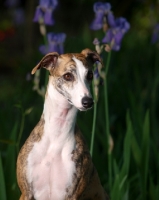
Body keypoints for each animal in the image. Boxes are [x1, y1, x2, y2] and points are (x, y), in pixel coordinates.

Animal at [16, 48, 108, 200]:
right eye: (67, 76)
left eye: (89, 75)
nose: (88, 102)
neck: (56, 134)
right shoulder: (26, 193)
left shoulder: (71, 193)